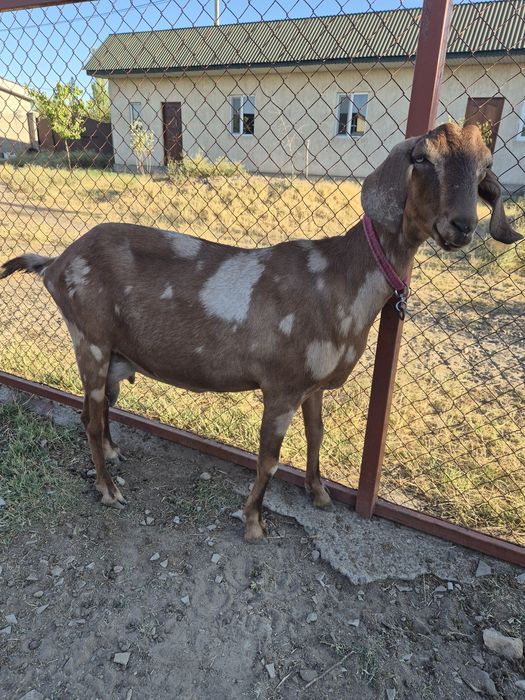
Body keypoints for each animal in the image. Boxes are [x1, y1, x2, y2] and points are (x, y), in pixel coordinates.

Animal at [1, 123, 521, 542]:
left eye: (485, 167)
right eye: (421, 159)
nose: (462, 226)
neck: (339, 276)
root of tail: (56, 263)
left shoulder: (313, 385)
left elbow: (317, 435)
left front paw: (319, 493)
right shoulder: (282, 387)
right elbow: (269, 458)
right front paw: (254, 521)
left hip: (111, 353)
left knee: (99, 410)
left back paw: (114, 455)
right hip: (89, 338)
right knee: (89, 418)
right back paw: (109, 490)